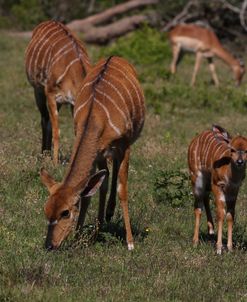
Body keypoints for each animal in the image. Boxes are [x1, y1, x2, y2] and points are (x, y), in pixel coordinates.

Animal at [25, 20, 91, 164]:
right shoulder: (50, 93)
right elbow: (57, 131)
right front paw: (55, 163)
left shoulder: (72, 103)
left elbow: (76, 131)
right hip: (38, 91)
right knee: (45, 120)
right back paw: (44, 155)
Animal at [40, 56, 145, 250]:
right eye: (46, 210)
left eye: (65, 212)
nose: (49, 245)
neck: (95, 116)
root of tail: (115, 56)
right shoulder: (97, 152)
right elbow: (92, 190)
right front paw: (83, 235)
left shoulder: (125, 145)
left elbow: (122, 189)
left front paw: (130, 243)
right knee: (108, 174)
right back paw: (106, 216)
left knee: (116, 171)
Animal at [188, 125, 247, 255]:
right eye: (232, 149)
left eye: (246, 150)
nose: (240, 162)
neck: (230, 177)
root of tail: (196, 139)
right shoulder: (217, 185)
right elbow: (220, 213)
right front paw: (219, 248)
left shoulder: (234, 190)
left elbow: (230, 215)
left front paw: (230, 248)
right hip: (196, 177)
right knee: (198, 206)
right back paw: (195, 242)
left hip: (207, 180)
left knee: (205, 197)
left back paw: (211, 230)